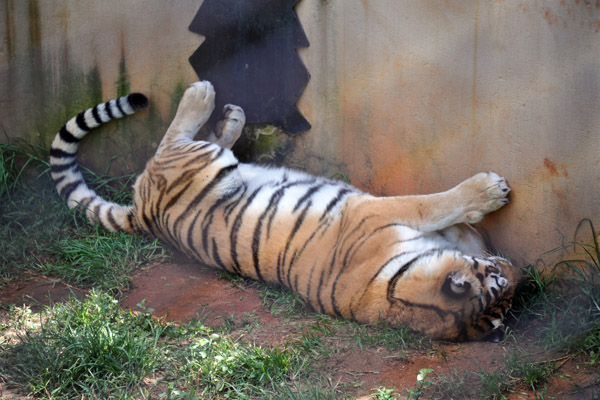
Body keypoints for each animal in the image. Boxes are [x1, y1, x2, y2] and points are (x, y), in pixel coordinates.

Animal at [50, 80, 520, 340]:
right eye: (498, 280)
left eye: (509, 295)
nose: (519, 271)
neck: (399, 293)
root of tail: (141, 214)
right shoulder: (376, 213)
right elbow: (434, 204)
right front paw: (488, 191)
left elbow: (458, 229)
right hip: (203, 166)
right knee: (171, 140)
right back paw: (203, 94)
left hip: (215, 165)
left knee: (206, 141)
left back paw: (231, 117)